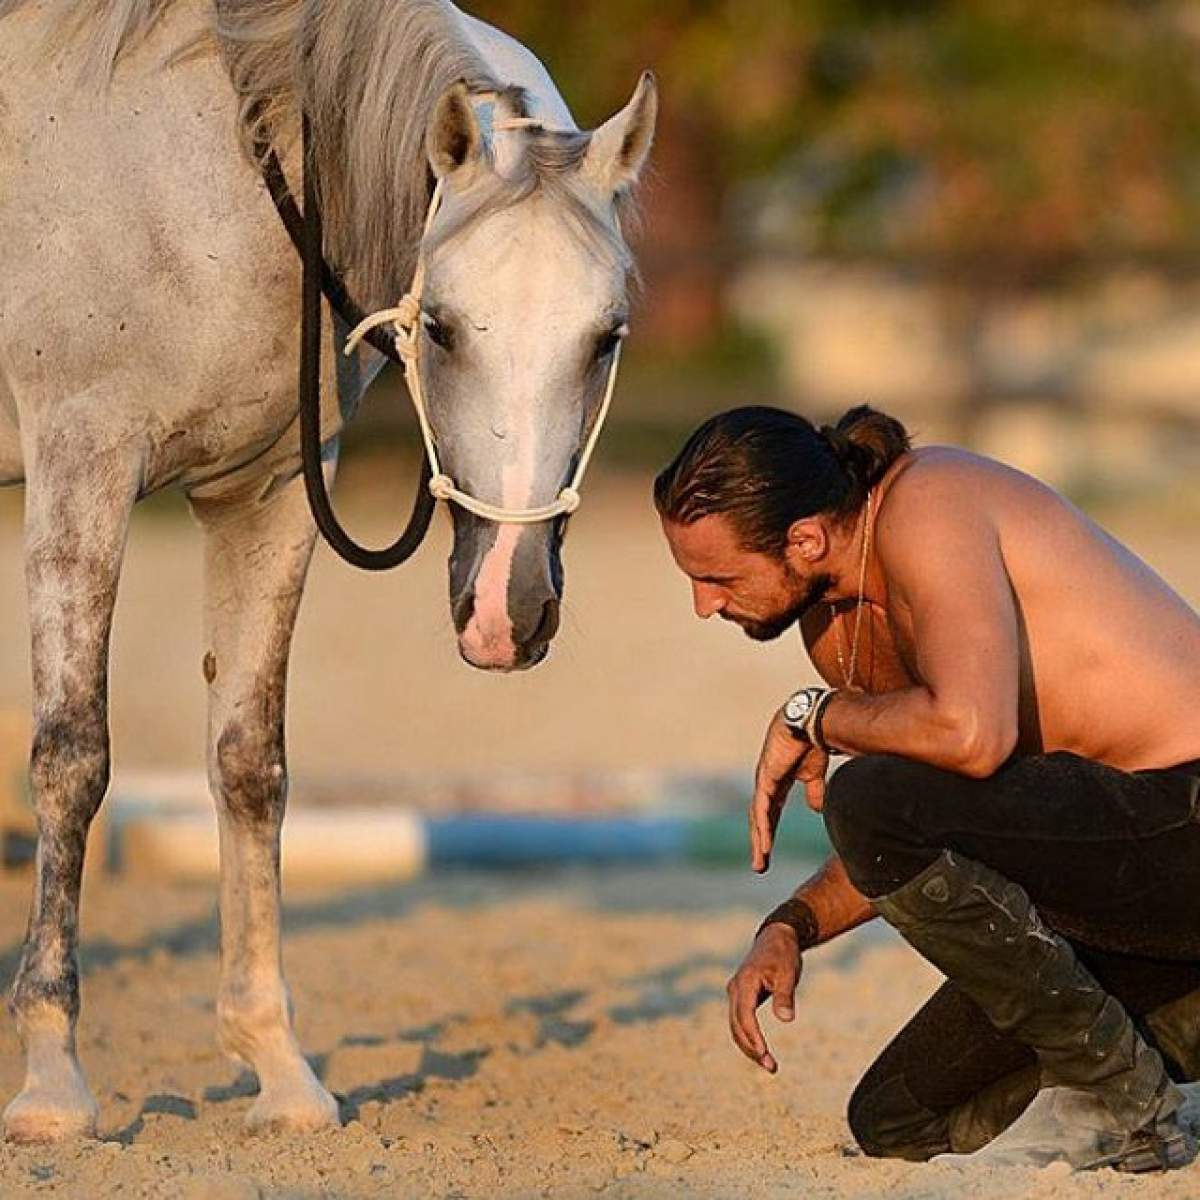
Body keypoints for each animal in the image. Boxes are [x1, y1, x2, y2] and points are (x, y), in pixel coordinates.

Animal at [0, 0, 657, 1142]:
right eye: (440, 328)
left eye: (605, 337)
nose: (507, 610)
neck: (227, 155)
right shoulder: (81, 465)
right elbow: (73, 758)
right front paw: (51, 1084)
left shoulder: (268, 499)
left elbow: (249, 765)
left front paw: (278, 1069)